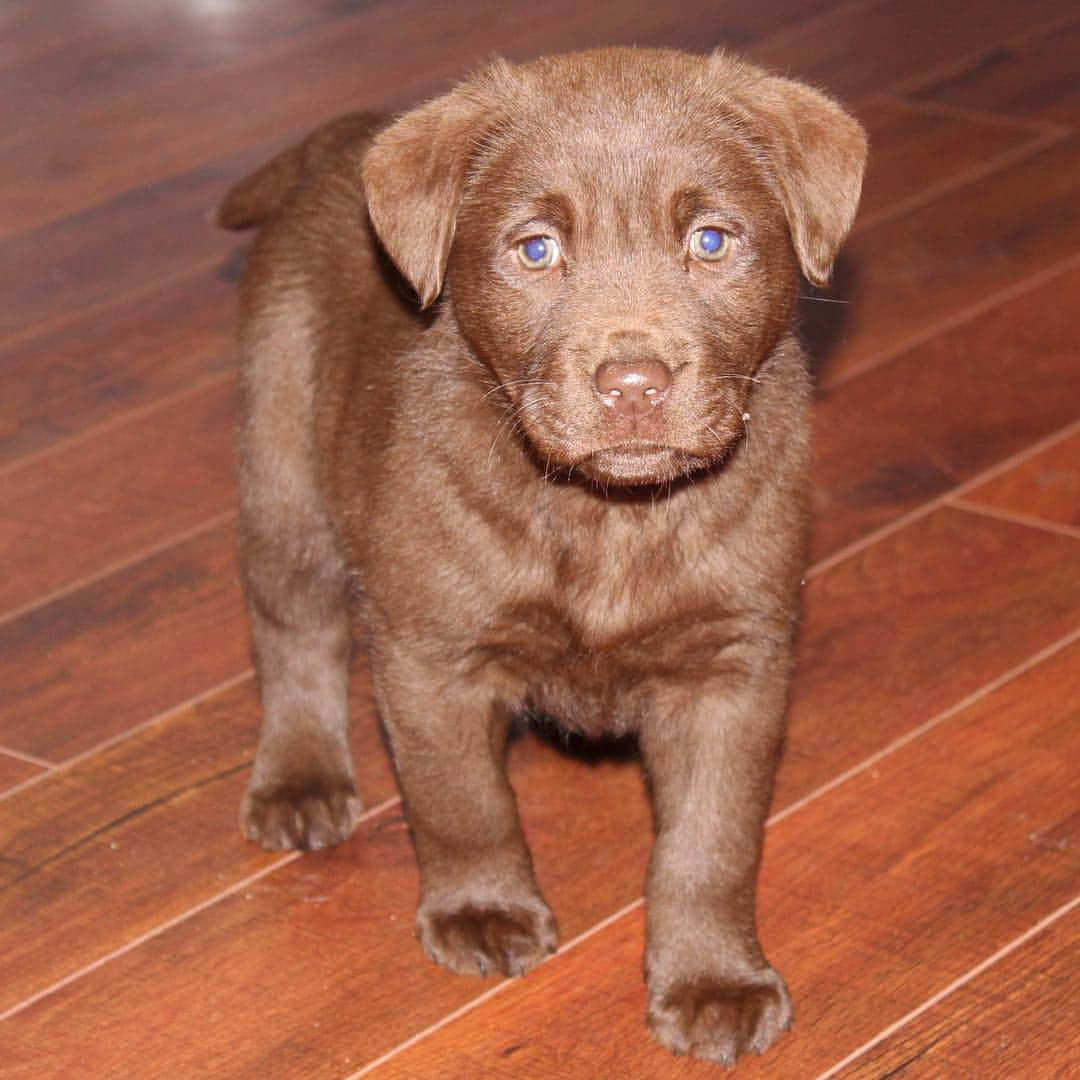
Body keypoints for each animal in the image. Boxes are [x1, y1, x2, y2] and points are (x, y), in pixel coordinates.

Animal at [221, 48, 868, 1062]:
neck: (610, 518)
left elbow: (710, 845)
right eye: (535, 251)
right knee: (295, 631)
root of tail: (339, 144)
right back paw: (300, 780)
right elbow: (461, 800)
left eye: (711, 241)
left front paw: (713, 979)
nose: (633, 384)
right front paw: (482, 911)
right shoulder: (433, 656)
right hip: (283, 459)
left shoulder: (733, 669)